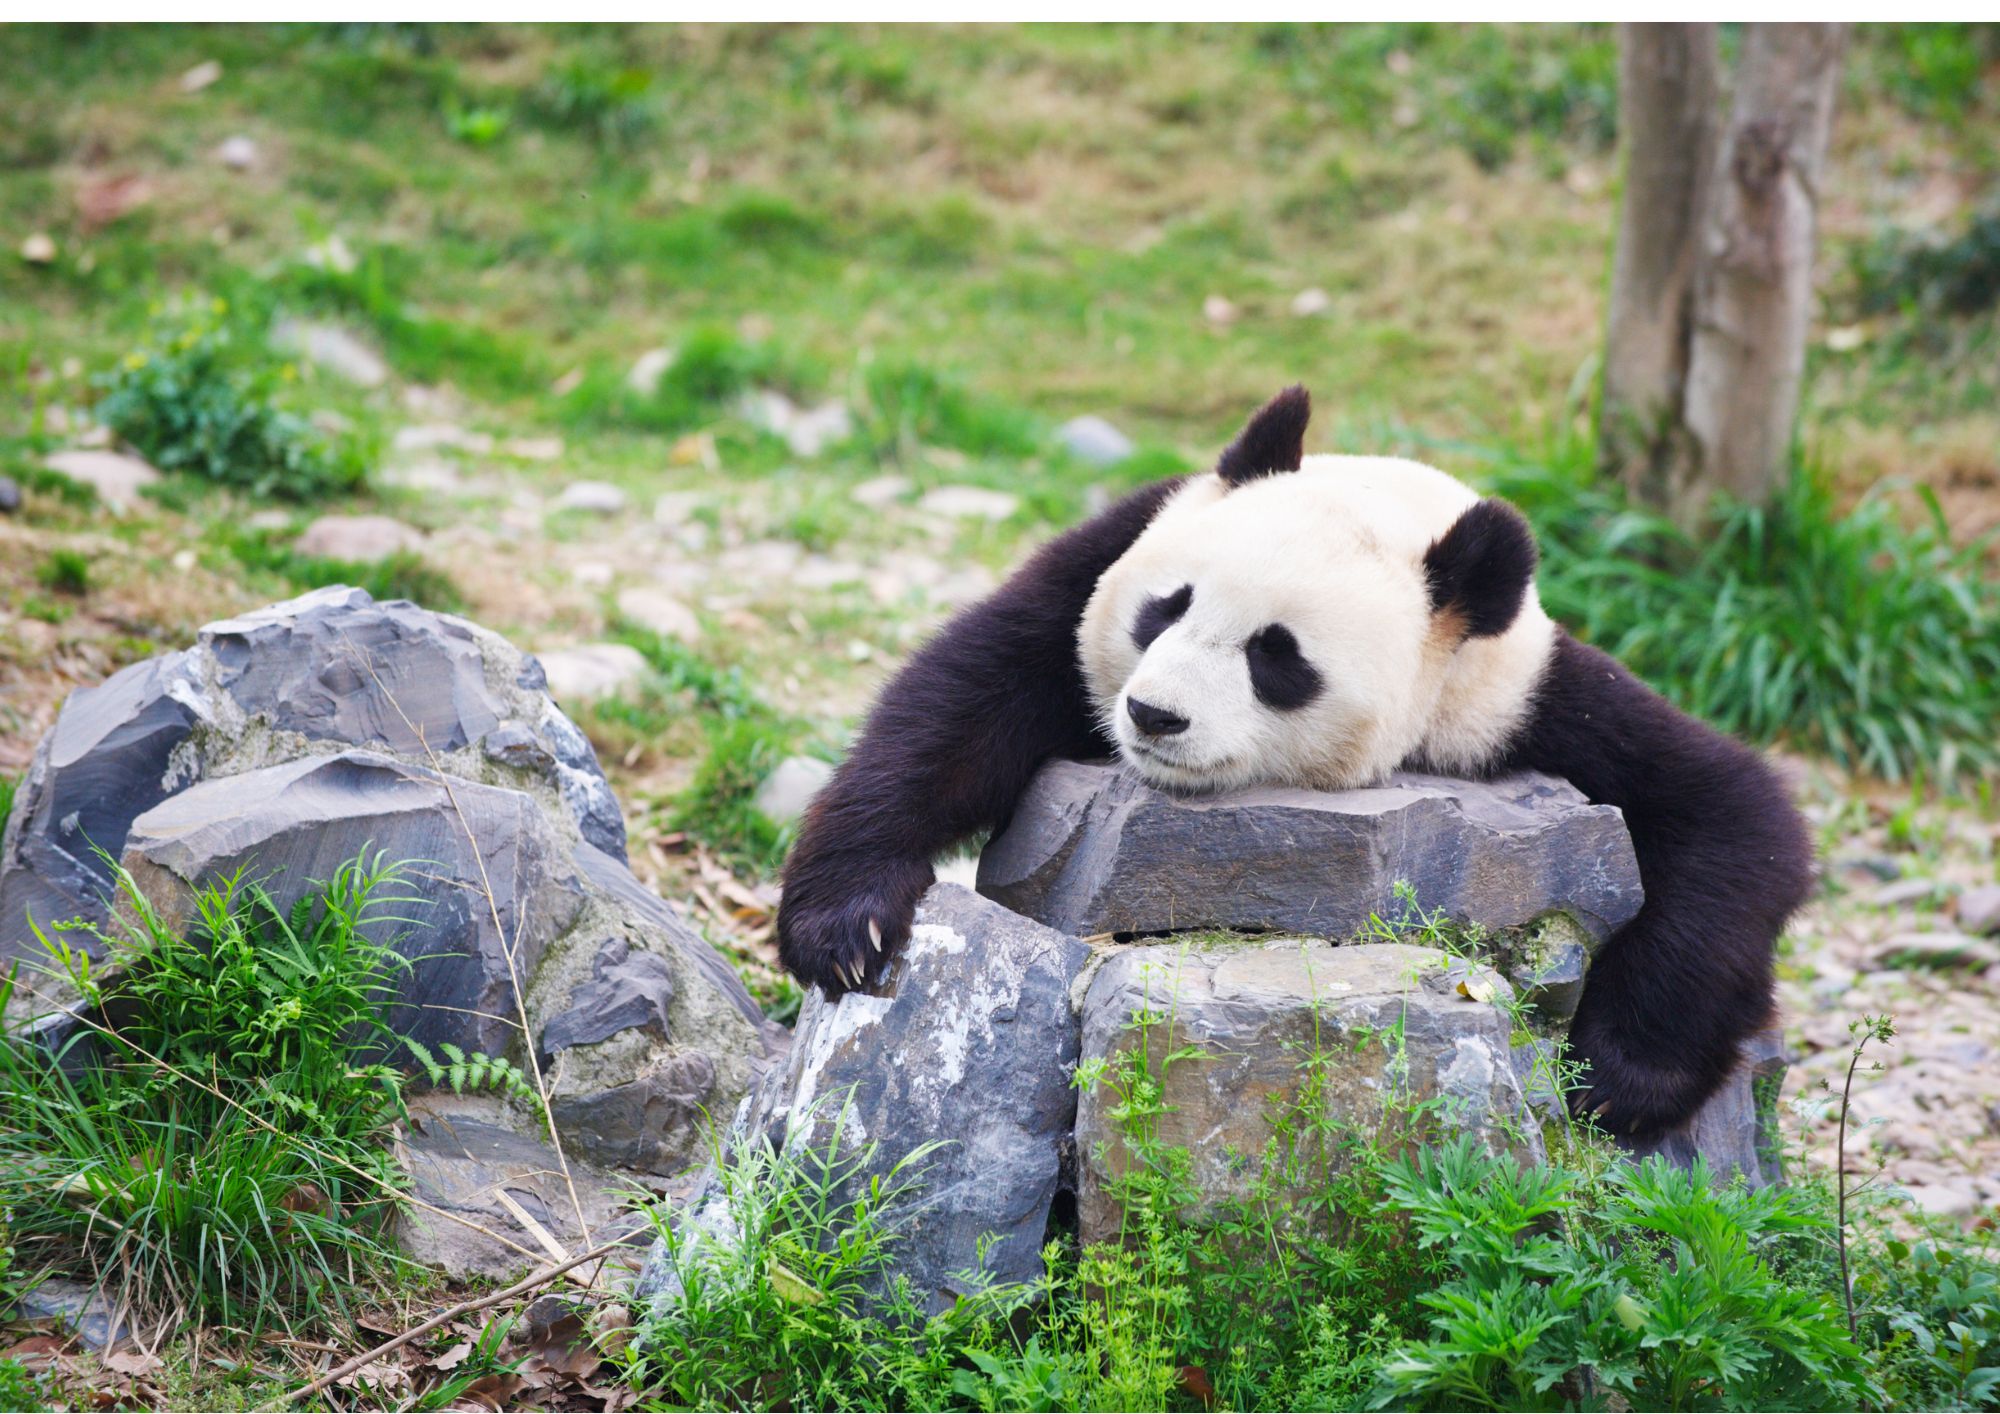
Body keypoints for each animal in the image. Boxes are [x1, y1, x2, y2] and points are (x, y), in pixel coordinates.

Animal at [777, 386, 1814, 1136]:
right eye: (1167, 606)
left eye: (1277, 658)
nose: (1152, 715)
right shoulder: (1112, 549)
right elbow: (962, 702)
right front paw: (846, 926)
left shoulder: (1527, 702)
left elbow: (1731, 820)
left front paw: (1616, 1080)